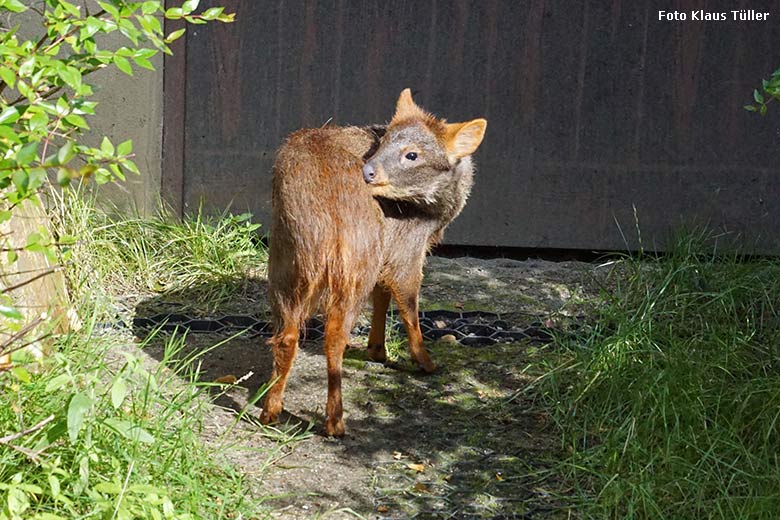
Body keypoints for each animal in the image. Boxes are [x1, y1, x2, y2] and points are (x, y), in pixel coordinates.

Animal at [258, 90, 484, 438]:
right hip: (354, 265)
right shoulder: (407, 250)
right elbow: (409, 307)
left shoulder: (384, 257)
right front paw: (425, 362)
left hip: (286, 265)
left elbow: (383, 297)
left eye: (412, 155)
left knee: (286, 336)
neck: (435, 212)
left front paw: (377, 350)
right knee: (333, 337)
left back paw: (270, 411)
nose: (369, 171)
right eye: (384, 142)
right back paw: (335, 421)